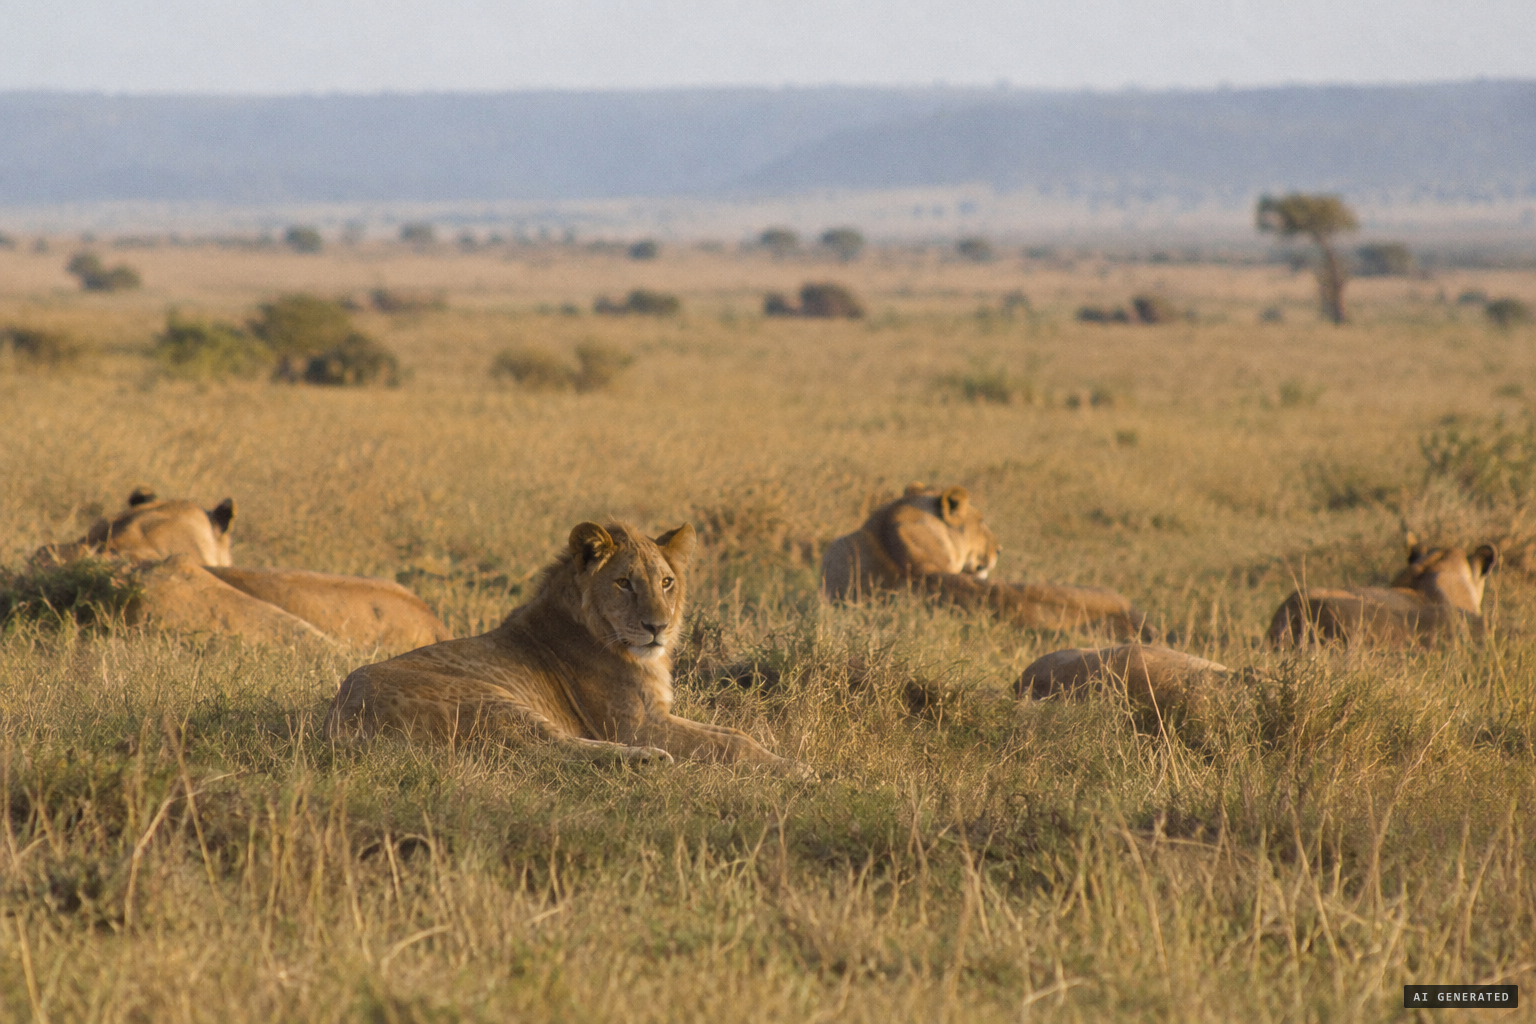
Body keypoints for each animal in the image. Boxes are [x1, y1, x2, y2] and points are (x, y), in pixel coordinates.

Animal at [326, 521, 801, 771]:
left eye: (667, 582)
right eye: (624, 582)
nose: (658, 627)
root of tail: (339, 720)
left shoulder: (658, 713)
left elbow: (734, 732)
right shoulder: (634, 724)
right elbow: (732, 743)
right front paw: (797, 768)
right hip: (491, 700)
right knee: (553, 750)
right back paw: (649, 759)